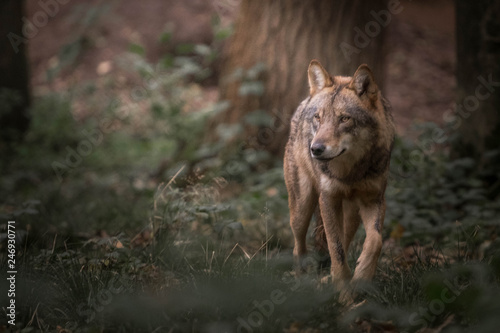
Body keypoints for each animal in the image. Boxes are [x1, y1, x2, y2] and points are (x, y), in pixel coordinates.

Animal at [286, 60, 394, 288]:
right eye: (318, 118)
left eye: (344, 118)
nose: (315, 149)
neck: (349, 172)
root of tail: (305, 100)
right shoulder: (327, 199)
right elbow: (336, 248)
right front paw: (343, 287)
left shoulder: (375, 199)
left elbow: (375, 241)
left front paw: (361, 276)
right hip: (302, 209)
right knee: (299, 246)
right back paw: (302, 282)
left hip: (351, 216)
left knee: (344, 240)